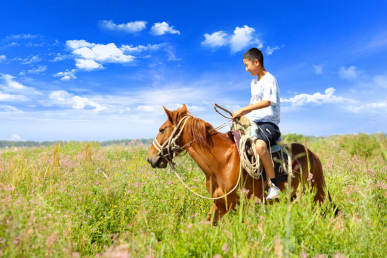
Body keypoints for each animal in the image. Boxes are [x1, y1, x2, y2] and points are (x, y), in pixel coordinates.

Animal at [147, 104, 328, 224]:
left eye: (162, 130)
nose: (150, 158)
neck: (221, 161)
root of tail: (312, 154)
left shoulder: (241, 205)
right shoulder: (220, 203)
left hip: (315, 195)